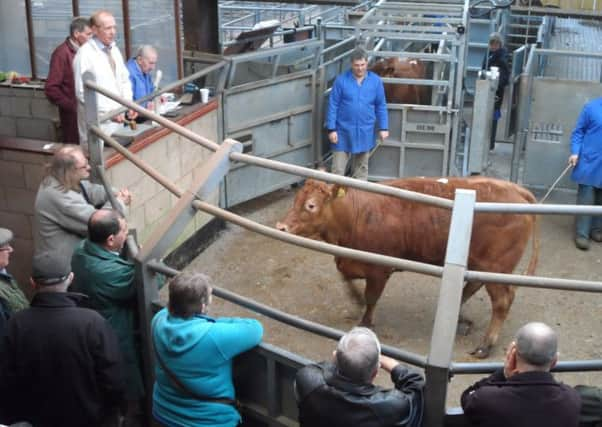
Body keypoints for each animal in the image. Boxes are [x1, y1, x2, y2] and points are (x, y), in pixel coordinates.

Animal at [274, 176, 536, 360]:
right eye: (295, 201)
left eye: (310, 205)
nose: (281, 227)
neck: (356, 215)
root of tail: (515, 189)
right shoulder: (350, 260)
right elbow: (347, 279)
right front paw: (356, 299)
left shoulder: (379, 269)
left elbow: (371, 298)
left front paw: (365, 322)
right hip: (482, 264)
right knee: (472, 285)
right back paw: (461, 319)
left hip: (497, 267)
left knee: (501, 301)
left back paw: (485, 345)